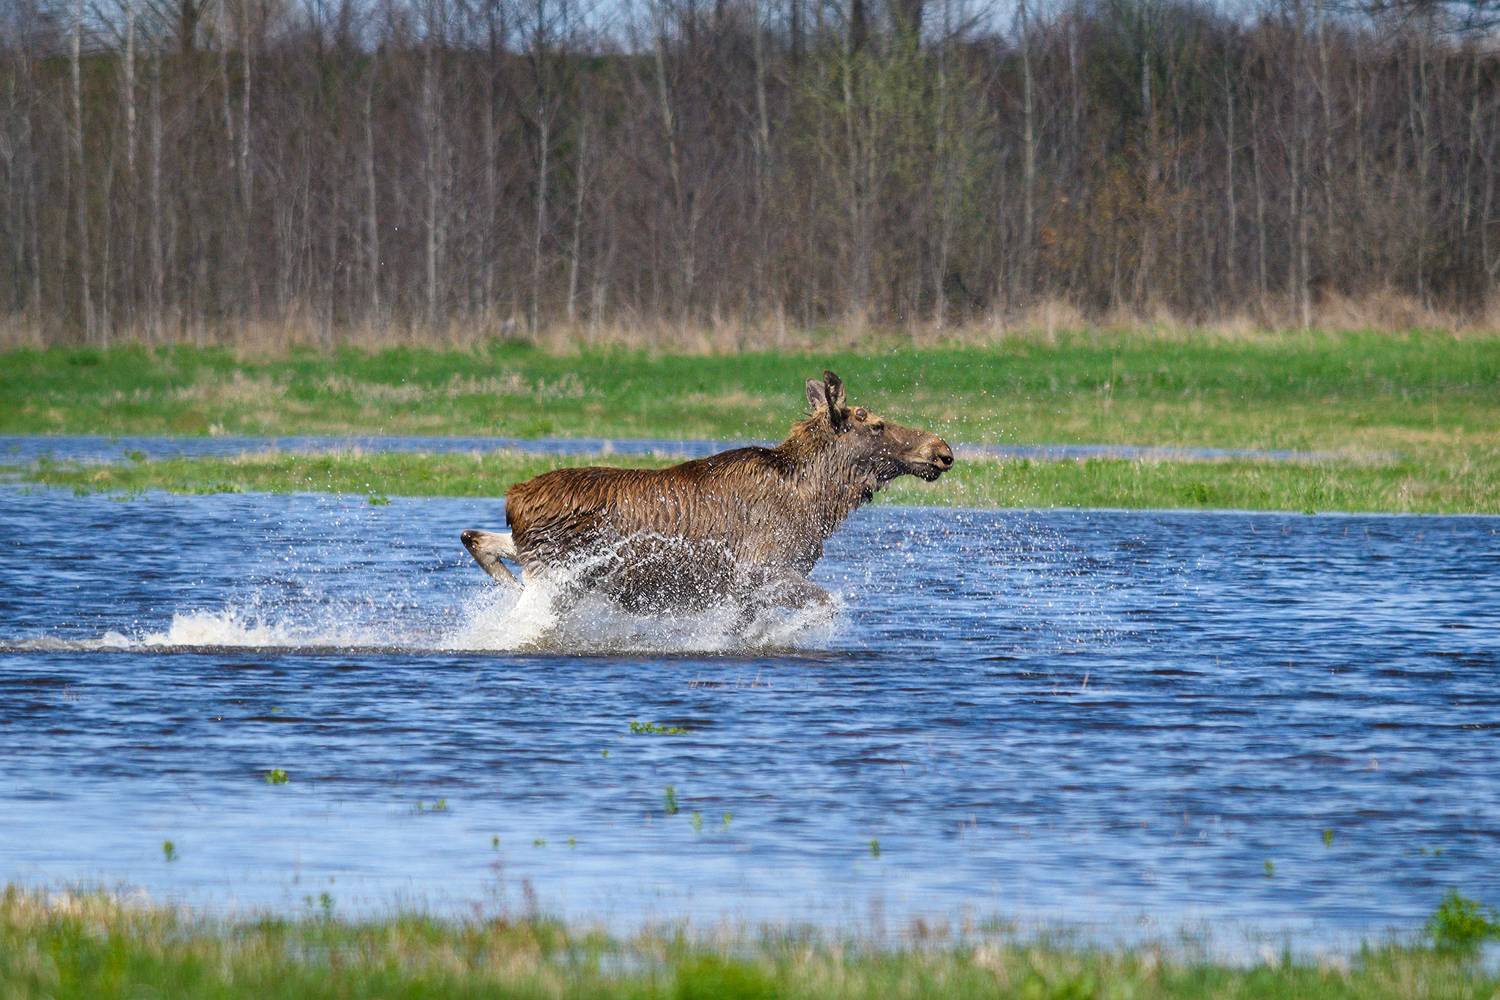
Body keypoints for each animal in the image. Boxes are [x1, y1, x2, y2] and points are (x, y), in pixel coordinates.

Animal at [460, 370, 954, 616]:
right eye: (876, 423)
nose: (943, 451)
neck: (819, 502)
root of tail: (513, 500)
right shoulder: (763, 571)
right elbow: (825, 607)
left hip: (535, 559)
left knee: (474, 537)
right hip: (556, 578)